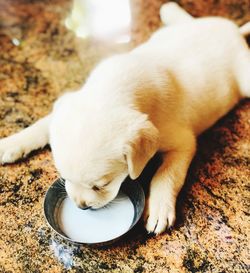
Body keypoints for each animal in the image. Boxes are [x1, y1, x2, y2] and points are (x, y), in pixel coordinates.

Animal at [0, 2, 250, 233]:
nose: (81, 206)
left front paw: (159, 208)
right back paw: (170, 10)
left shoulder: (183, 143)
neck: (115, 89)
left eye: (102, 185)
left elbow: (167, 175)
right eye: (63, 176)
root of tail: (234, 32)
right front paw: (12, 143)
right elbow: (42, 124)